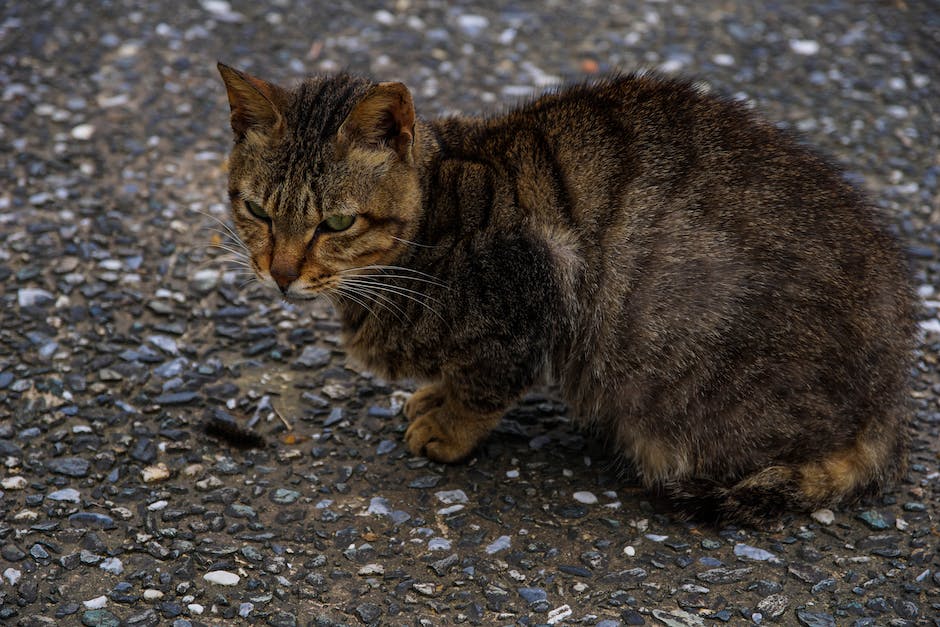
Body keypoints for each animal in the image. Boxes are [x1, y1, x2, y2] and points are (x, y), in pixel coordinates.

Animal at [217, 62, 916, 524]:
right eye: (257, 210)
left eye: (337, 223)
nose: (281, 273)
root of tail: (887, 401)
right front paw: (432, 397)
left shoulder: (531, 297)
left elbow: (483, 385)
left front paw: (447, 427)